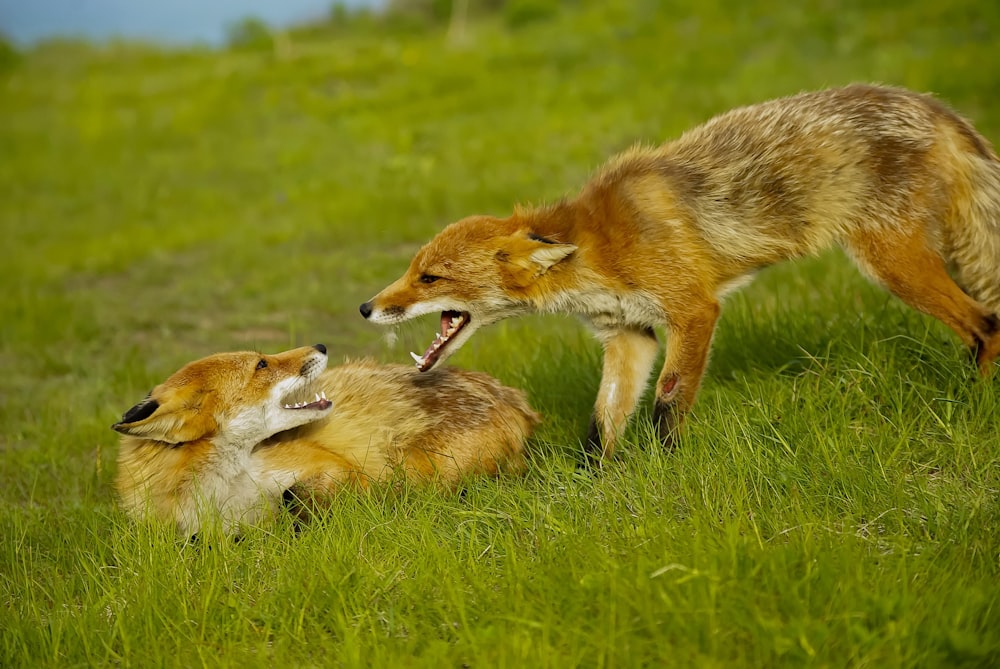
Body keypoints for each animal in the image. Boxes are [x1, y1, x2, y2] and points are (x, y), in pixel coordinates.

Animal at [114, 342, 540, 536]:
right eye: (262, 364)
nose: (321, 345)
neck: (227, 493)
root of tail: (515, 398)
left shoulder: (332, 466)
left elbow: (298, 497)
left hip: (425, 467)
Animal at [360, 83, 1000, 460]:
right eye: (413, 270)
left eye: (430, 278)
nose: (367, 308)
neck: (599, 253)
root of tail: (928, 102)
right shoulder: (629, 333)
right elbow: (602, 423)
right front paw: (595, 484)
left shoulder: (693, 310)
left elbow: (668, 402)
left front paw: (668, 468)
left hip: (892, 262)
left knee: (985, 324)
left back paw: (978, 400)